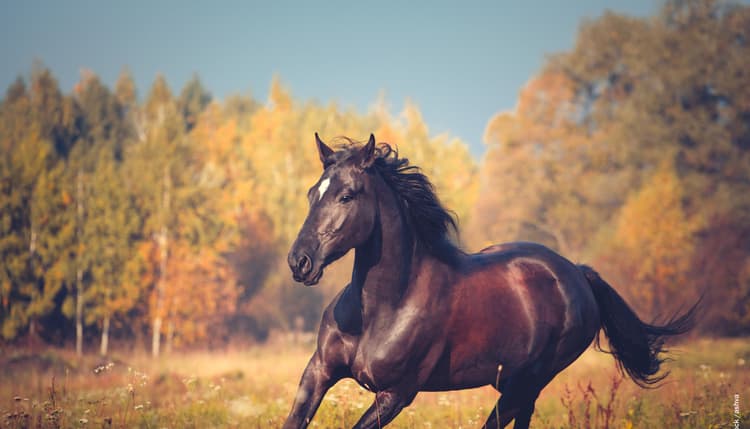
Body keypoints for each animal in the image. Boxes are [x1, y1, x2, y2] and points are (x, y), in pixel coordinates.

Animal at [283, 134, 696, 429]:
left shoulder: (396, 393)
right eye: (311, 193)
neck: (382, 308)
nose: (299, 262)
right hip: (516, 385)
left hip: (527, 381)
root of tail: (576, 272)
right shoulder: (318, 372)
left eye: (347, 196)